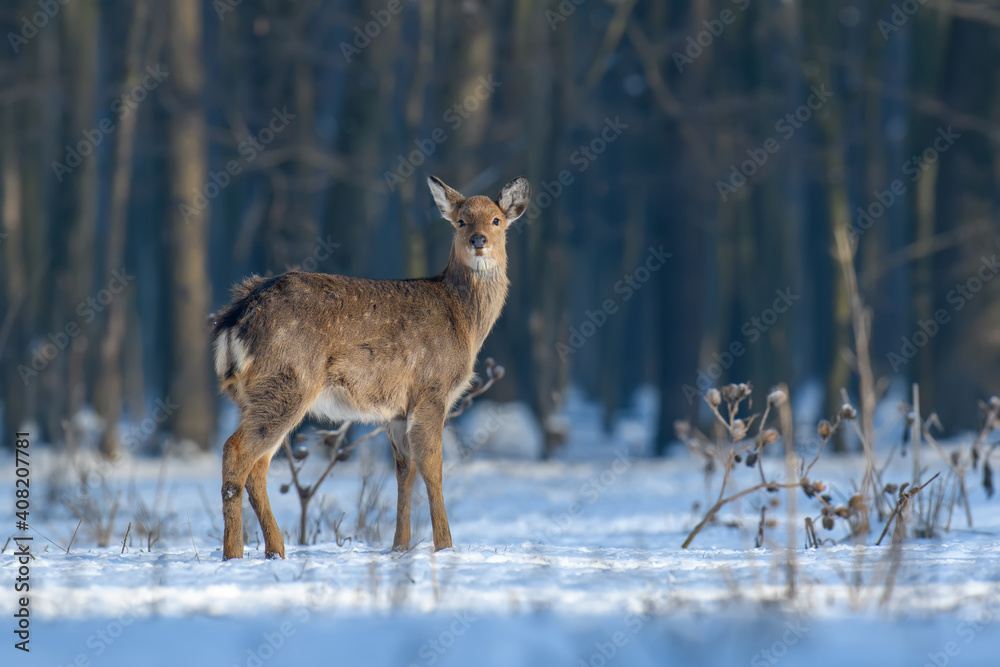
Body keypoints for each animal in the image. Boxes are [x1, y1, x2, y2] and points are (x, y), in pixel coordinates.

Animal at [211, 175, 529, 560]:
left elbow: (405, 470)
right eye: (461, 221)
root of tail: (236, 318)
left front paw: (399, 547)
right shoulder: (431, 388)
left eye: (496, 220)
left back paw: (276, 551)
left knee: (258, 466)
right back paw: (233, 554)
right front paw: (445, 547)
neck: (465, 323)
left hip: (261, 393)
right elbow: (433, 467)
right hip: (287, 381)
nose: (478, 240)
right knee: (236, 451)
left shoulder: (397, 410)